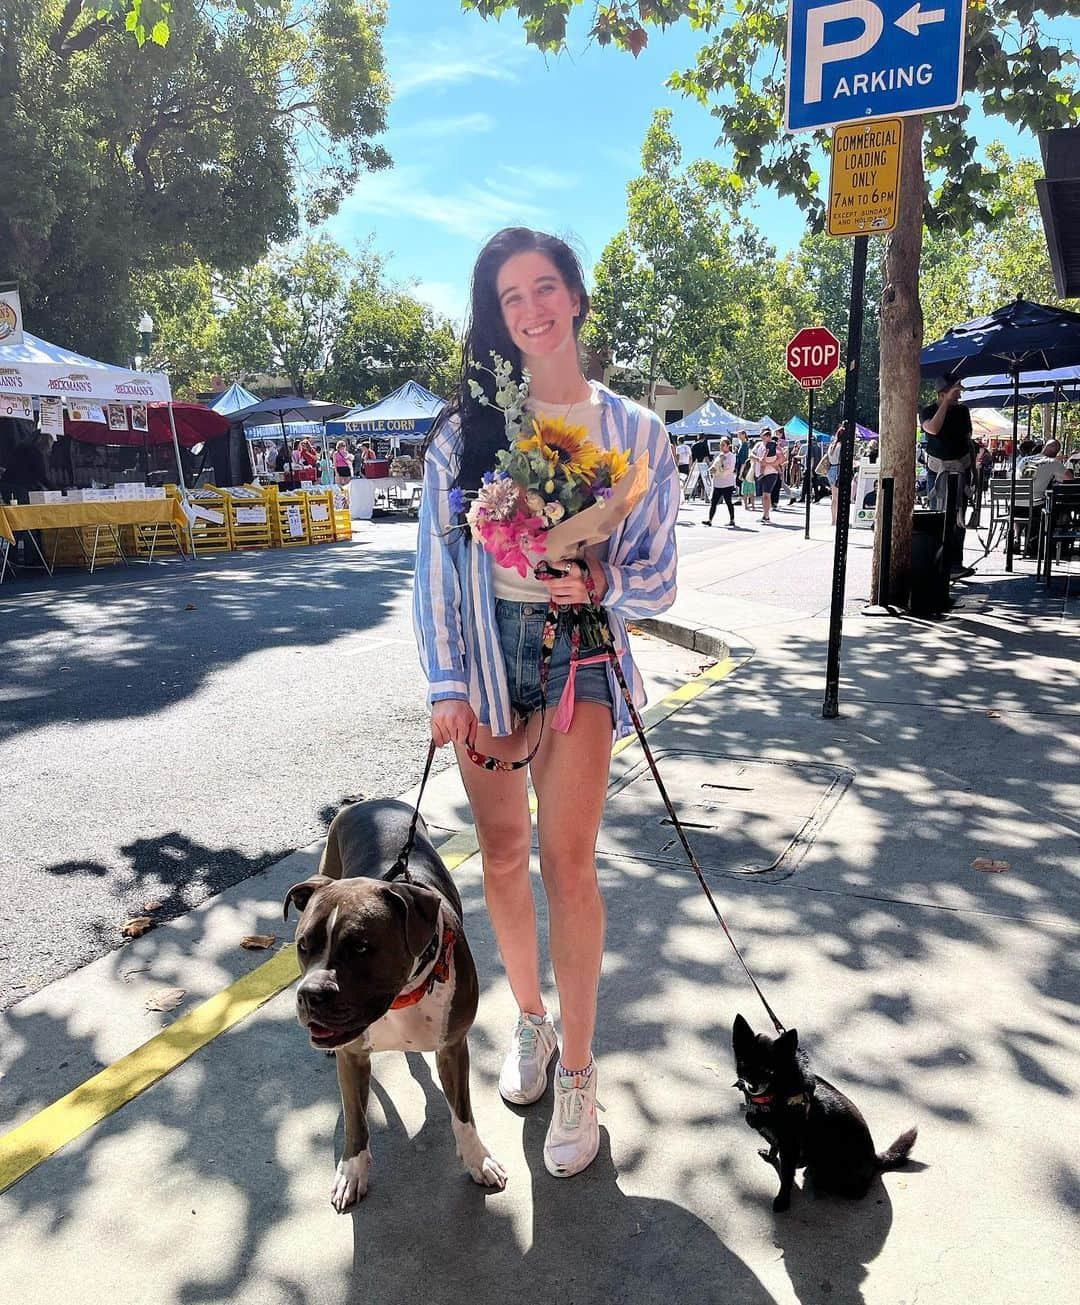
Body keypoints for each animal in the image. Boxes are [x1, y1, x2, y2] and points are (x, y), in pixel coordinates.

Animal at [284, 793, 508, 1211]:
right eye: (303, 946)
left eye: (360, 947)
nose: (310, 995)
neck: (403, 997)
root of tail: (370, 800)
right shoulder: (353, 1057)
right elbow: (356, 1121)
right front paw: (352, 1172)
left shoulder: (453, 1048)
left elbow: (463, 1113)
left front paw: (477, 1159)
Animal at [730, 1007, 913, 1211]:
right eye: (744, 1064)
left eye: (769, 1070)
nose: (752, 1087)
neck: (776, 1094)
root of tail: (875, 1158)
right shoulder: (782, 1143)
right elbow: (774, 1147)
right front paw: (771, 1156)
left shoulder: (789, 1146)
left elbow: (786, 1177)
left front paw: (783, 1200)